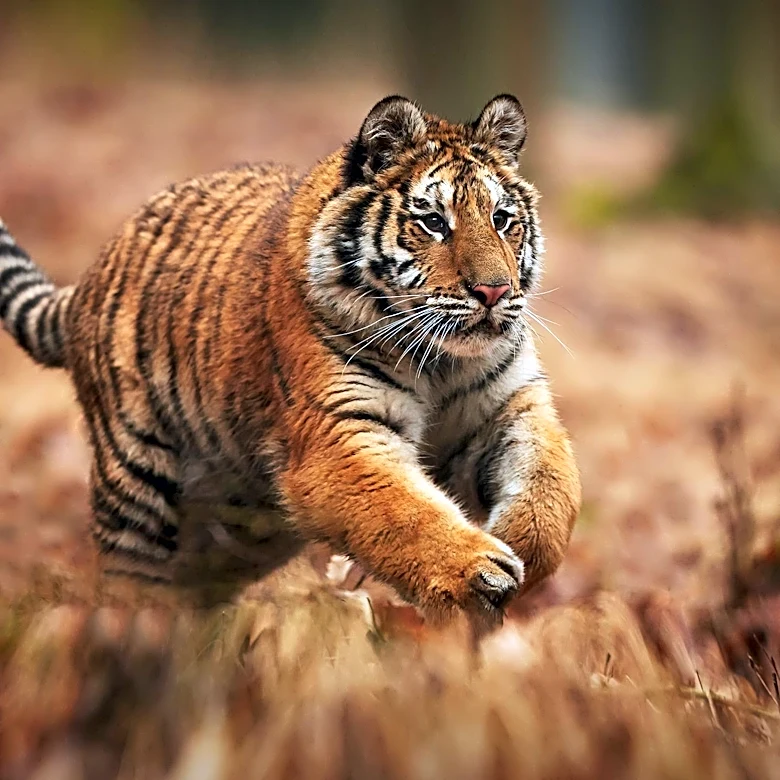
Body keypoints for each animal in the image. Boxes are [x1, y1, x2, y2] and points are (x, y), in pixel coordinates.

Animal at [0, 94, 581, 628]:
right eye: (434, 222)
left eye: (502, 220)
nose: (493, 290)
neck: (443, 363)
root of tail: (88, 277)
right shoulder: (338, 434)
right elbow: (404, 511)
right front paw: (478, 571)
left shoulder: (510, 406)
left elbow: (553, 484)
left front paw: (518, 546)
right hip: (136, 485)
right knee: (130, 588)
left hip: (241, 526)